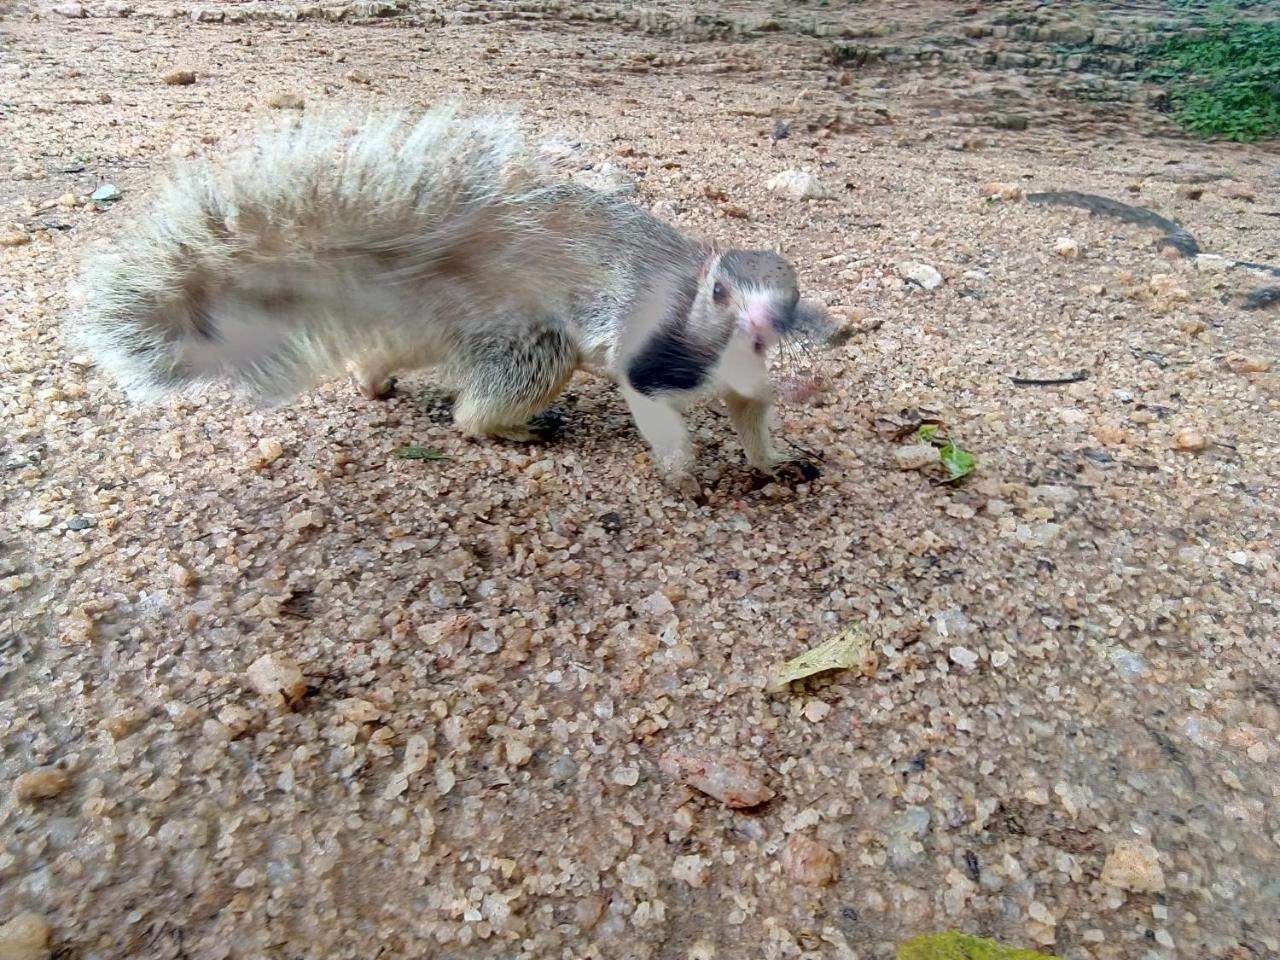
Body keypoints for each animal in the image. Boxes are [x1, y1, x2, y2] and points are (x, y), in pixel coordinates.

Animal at [70, 104, 829, 491]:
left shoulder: (743, 382)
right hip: (530, 345)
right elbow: (655, 409)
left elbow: (752, 416)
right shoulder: (651, 358)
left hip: (434, 329)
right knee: (474, 411)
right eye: (719, 291)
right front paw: (683, 473)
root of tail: (454, 266)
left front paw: (774, 459)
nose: (762, 326)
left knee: (387, 353)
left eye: (792, 300)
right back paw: (513, 427)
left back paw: (375, 381)